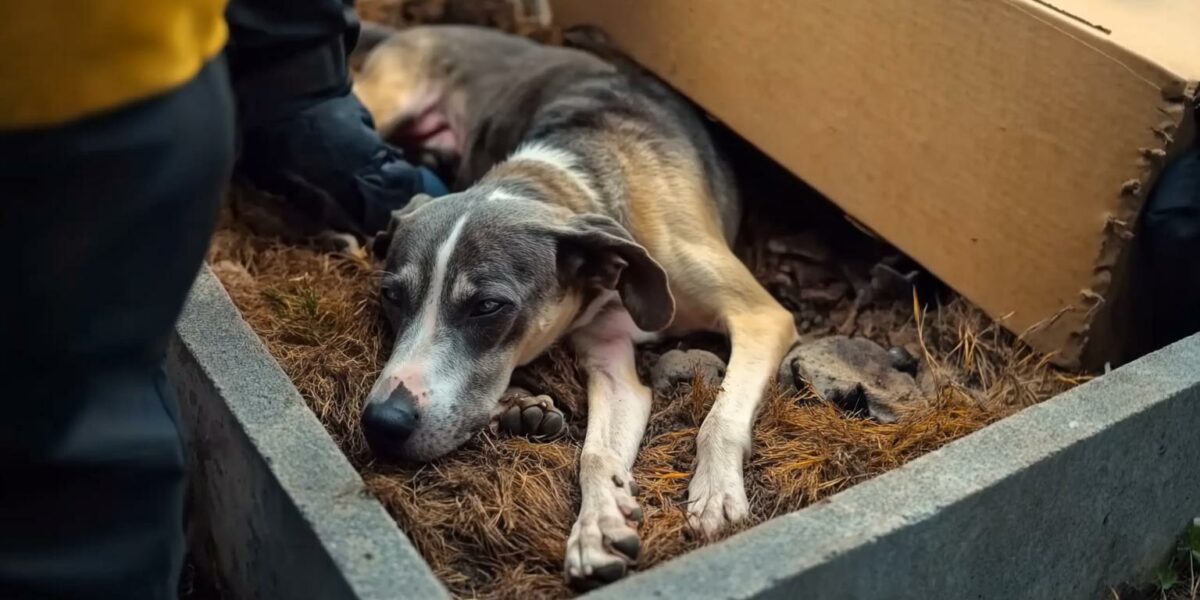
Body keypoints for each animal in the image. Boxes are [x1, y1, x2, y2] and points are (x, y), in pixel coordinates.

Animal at [350, 25, 796, 588]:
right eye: (391, 296)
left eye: (488, 306)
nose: (382, 423)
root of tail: (416, 29)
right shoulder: (608, 360)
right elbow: (596, 453)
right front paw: (599, 526)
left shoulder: (760, 316)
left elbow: (720, 418)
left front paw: (715, 493)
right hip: (381, 101)